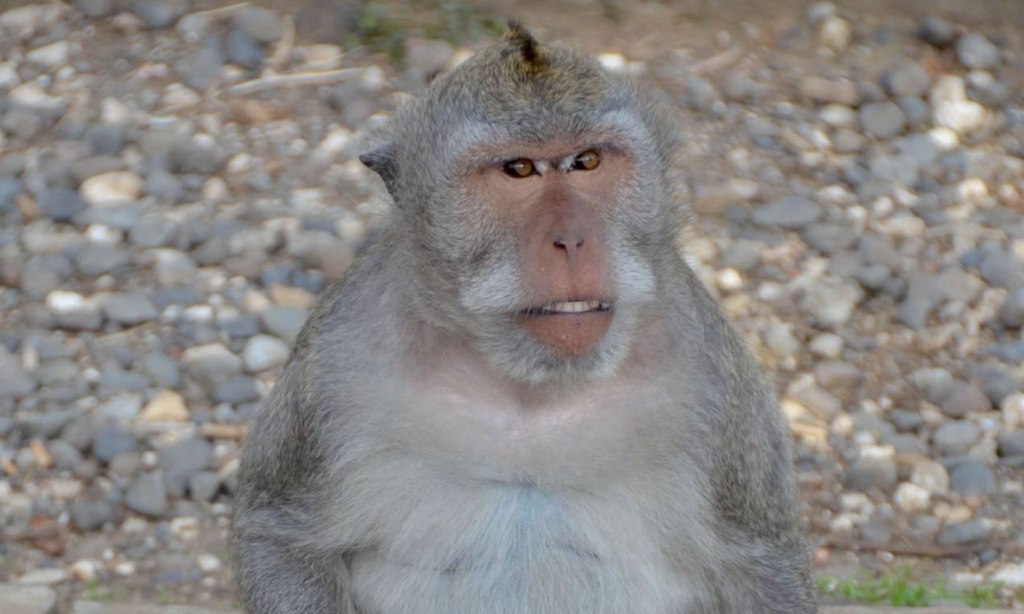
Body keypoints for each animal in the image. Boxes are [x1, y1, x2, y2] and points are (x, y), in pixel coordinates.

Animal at [231, 23, 816, 614]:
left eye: (587, 161)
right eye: (519, 169)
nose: (571, 240)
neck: (530, 391)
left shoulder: (716, 381)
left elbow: (761, 564)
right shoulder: (333, 365)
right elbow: (277, 533)